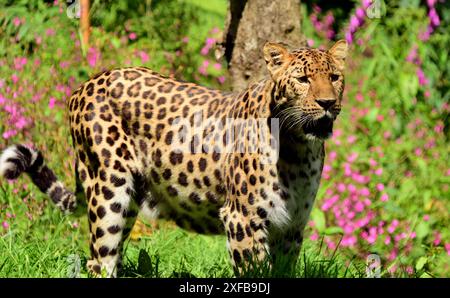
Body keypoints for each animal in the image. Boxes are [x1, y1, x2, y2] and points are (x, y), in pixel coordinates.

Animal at [0, 39, 348, 278]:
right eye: (303, 80)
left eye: (334, 77)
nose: (327, 103)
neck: (299, 149)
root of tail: (85, 84)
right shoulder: (243, 220)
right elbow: (254, 272)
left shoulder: (292, 227)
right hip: (109, 191)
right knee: (100, 261)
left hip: (130, 201)